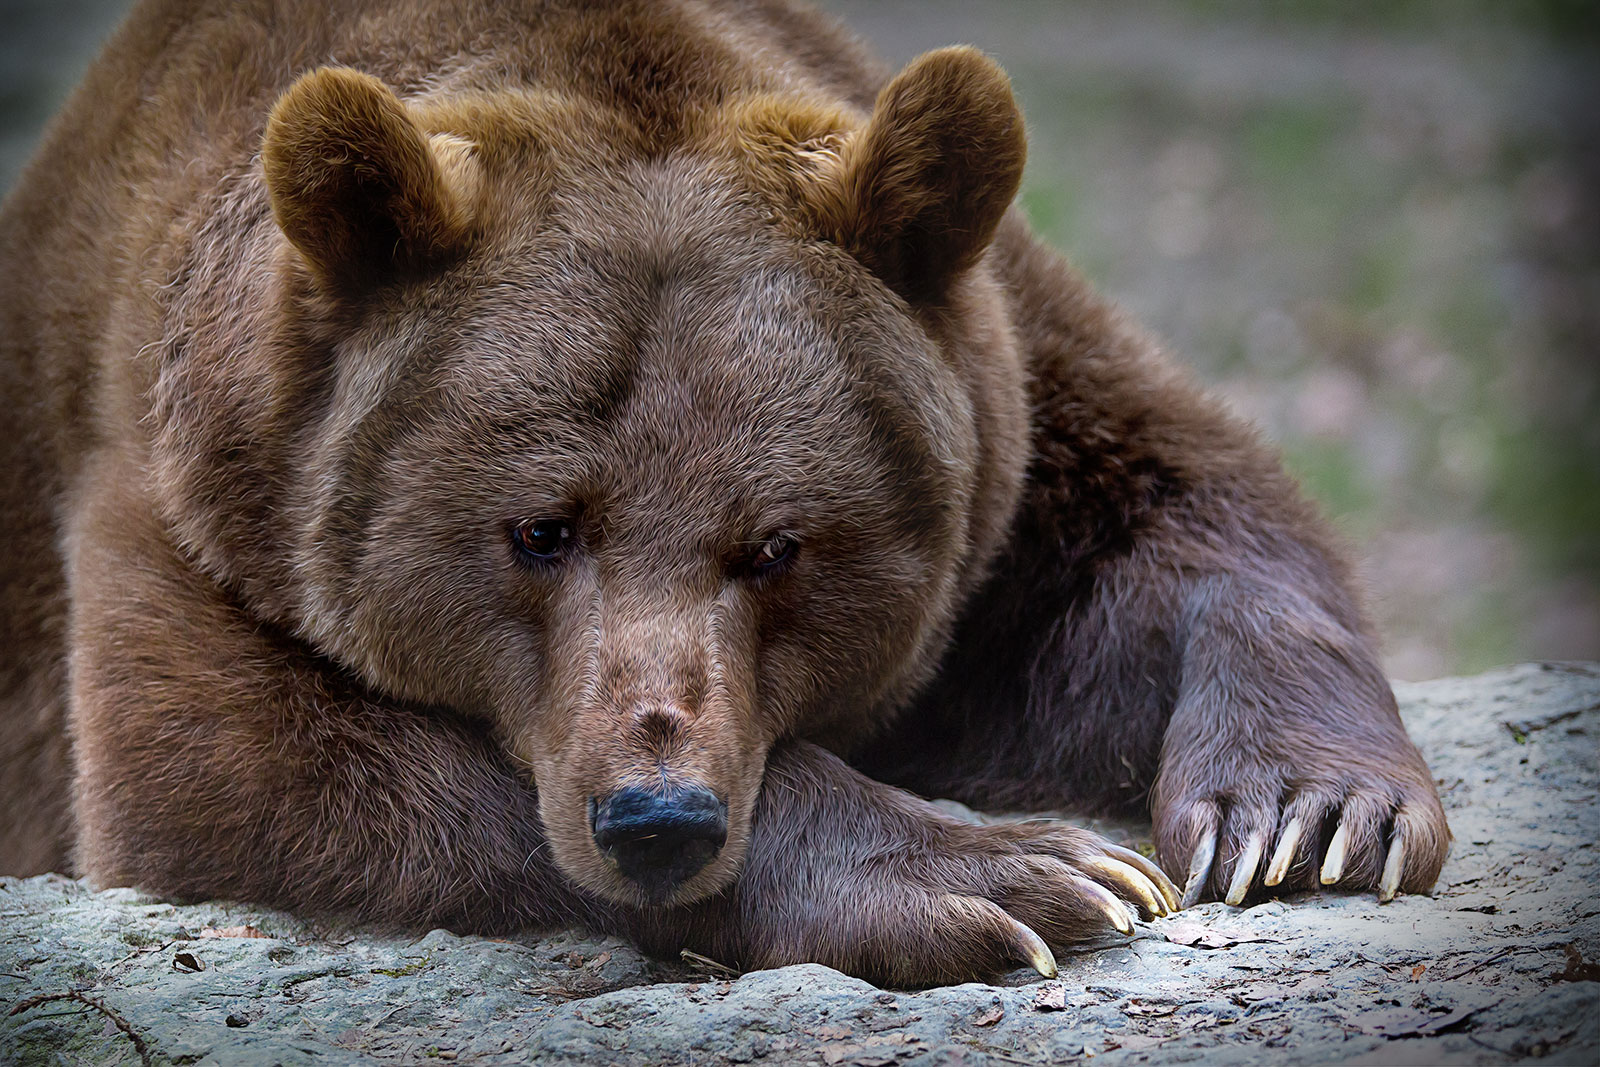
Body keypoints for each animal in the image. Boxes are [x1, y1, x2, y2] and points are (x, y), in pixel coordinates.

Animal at [3, 0, 1452, 991]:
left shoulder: (1001, 393)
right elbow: (248, 754)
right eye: (540, 528)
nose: (659, 817)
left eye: (777, 544)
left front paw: (1309, 813)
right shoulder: (181, 491)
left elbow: (1175, 517)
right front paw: (1022, 872)